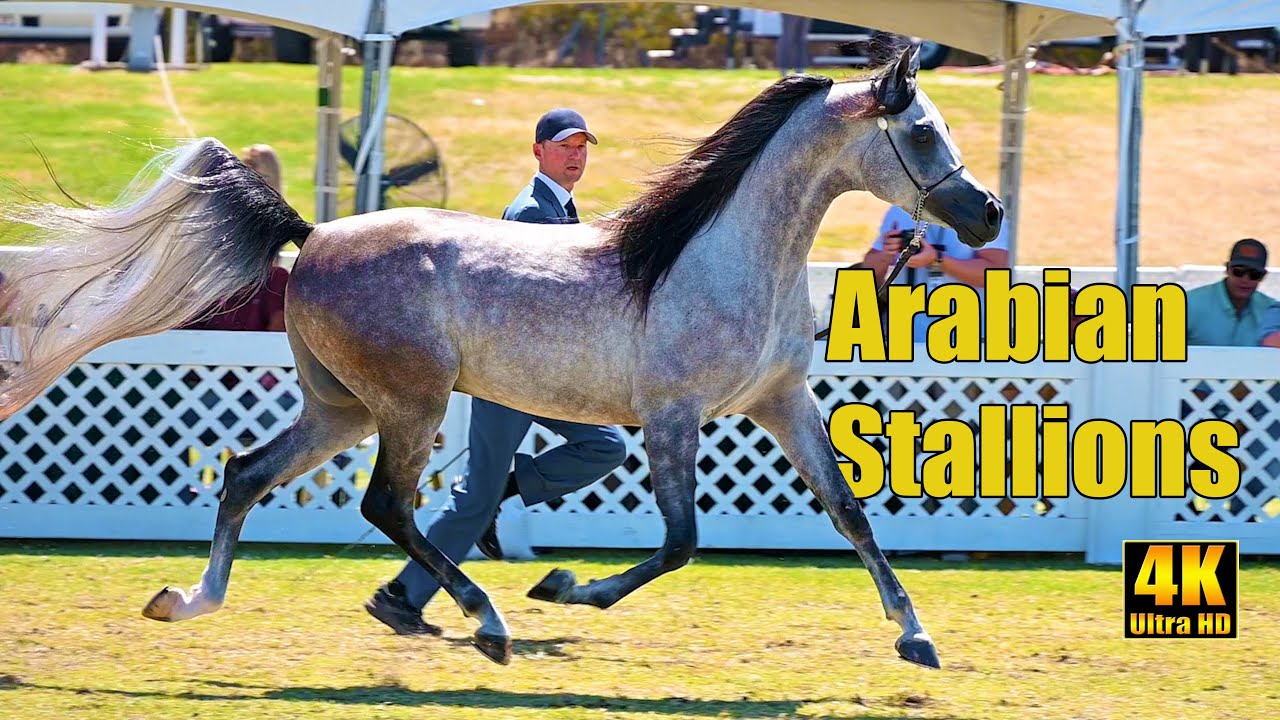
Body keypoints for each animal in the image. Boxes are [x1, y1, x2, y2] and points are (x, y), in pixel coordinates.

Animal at [0, 46, 1002, 668]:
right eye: (922, 132)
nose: (987, 212)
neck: (722, 256)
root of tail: (312, 234)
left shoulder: (782, 401)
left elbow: (850, 512)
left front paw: (915, 638)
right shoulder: (673, 418)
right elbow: (680, 543)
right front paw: (564, 588)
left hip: (341, 408)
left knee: (248, 472)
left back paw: (187, 600)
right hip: (407, 404)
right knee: (387, 504)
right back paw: (487, 621)